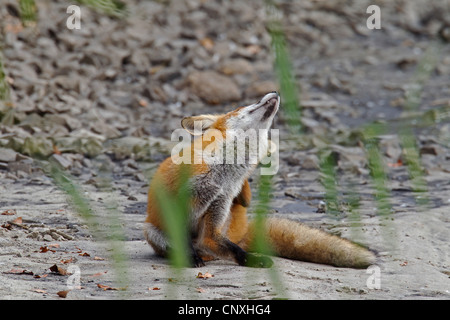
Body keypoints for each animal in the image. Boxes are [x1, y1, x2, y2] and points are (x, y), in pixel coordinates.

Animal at [144, 92, 376, 268]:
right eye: (244, 105)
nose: (276, 93)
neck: (223, 174)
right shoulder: (177, 204)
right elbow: (183, 242)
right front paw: (190, 259)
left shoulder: (218, 208)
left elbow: (233, 249)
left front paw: (252, 260)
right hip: (151, 230)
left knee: (219, 245)